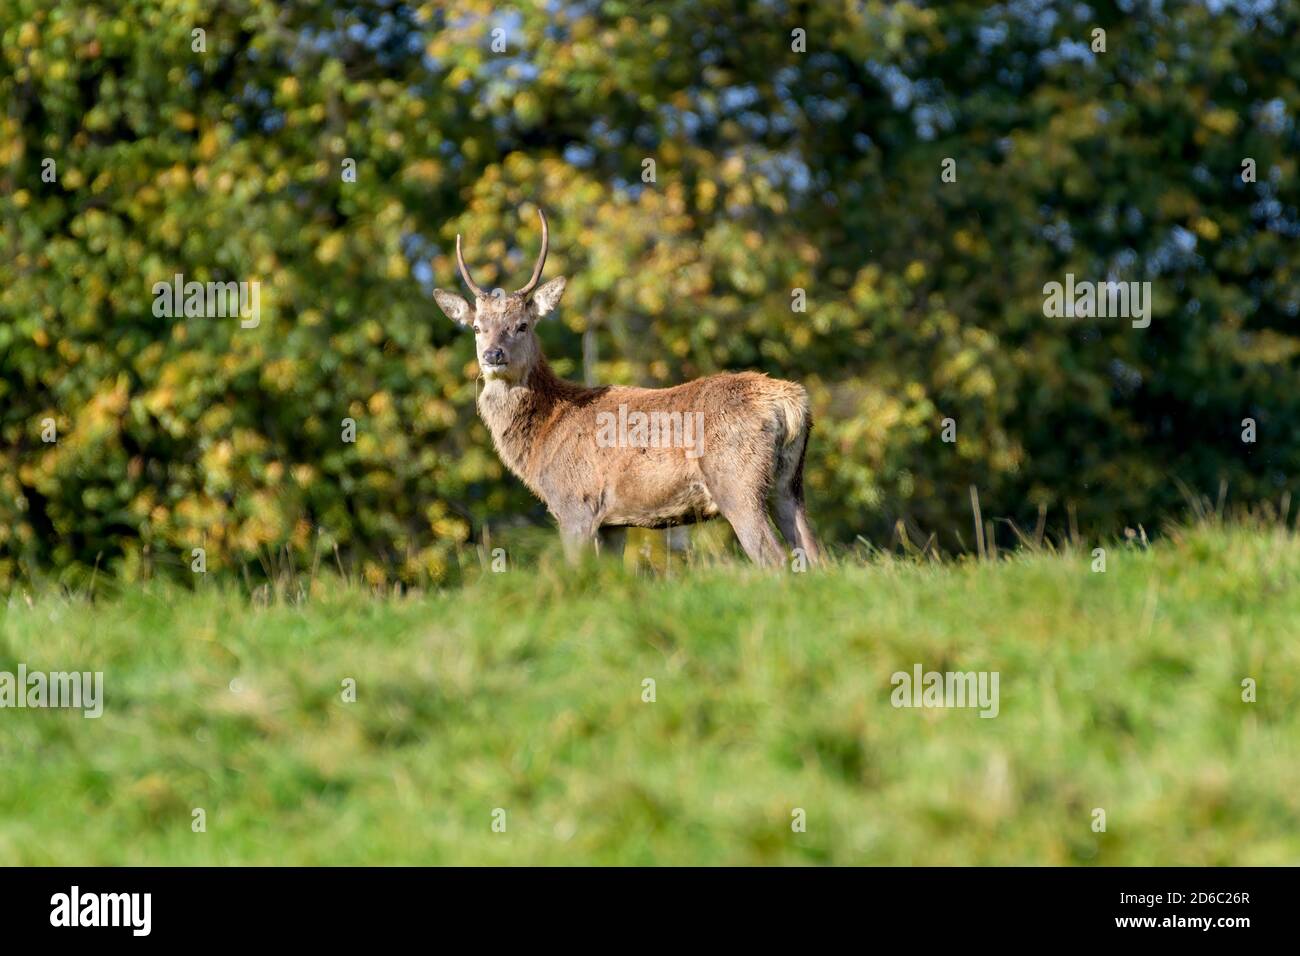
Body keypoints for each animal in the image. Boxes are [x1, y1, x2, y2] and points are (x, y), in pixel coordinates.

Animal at [433, 208, 820, 568]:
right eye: (477, 327)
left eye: (523, 324)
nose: (493, 355)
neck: (544, 435)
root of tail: (790, 402)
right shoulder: (613, 523)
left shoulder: (575, 502)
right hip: (790, 484)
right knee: (815, 556)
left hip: (736, 481)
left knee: (775, 559)